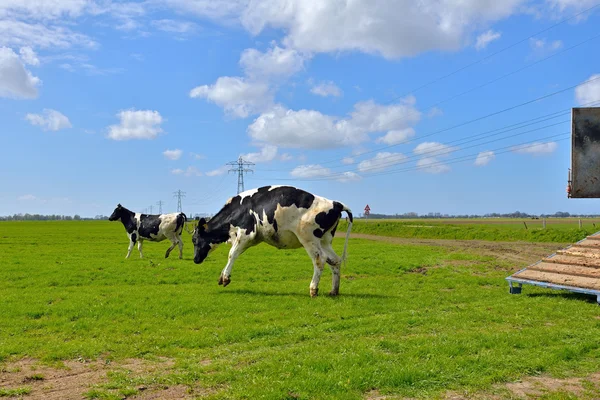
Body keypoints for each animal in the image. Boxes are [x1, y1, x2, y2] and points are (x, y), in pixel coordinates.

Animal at [191, 185, 352, 296]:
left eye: (194, 239)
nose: (195, 259)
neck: (238, 210)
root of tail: (335, 203)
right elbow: (234, 254)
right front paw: (222, 275)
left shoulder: (246, 233)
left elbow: (232, 254)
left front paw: (225, 278)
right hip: (325, 240)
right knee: (334, 260)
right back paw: (334, 290)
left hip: (308, 238)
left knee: (320, 259)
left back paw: (313, 289)